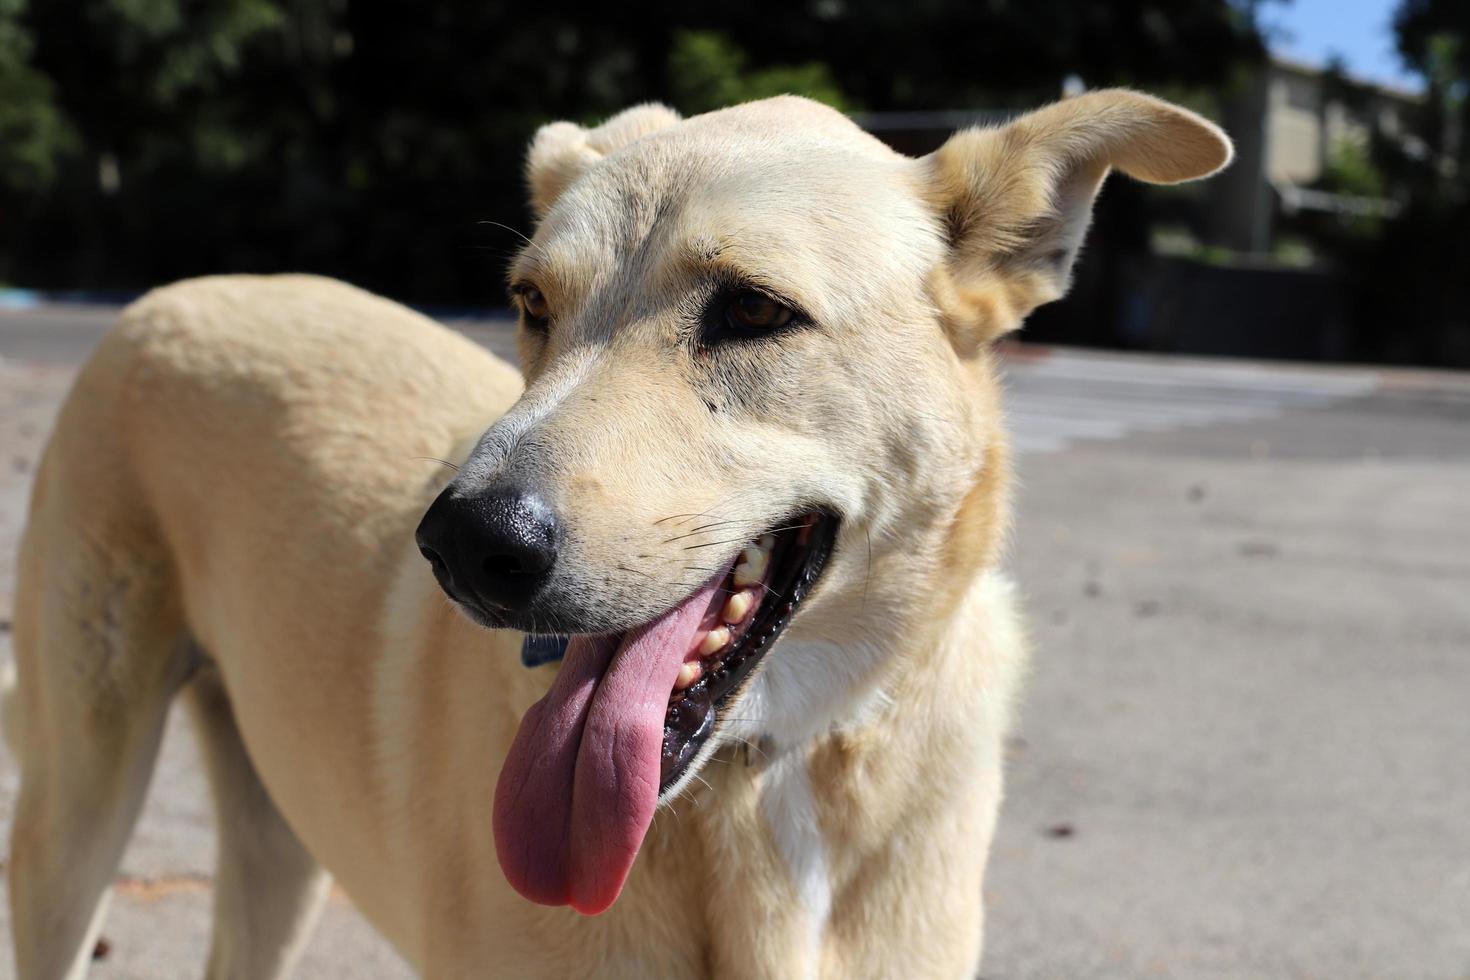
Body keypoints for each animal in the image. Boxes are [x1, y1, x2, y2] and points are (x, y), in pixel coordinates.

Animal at [2, 91, 1228, 980]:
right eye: (533, 303)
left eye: (754, 310)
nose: (462, 545)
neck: (761, 777)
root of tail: (176, 290)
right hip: (76, 812)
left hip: (278, 837)